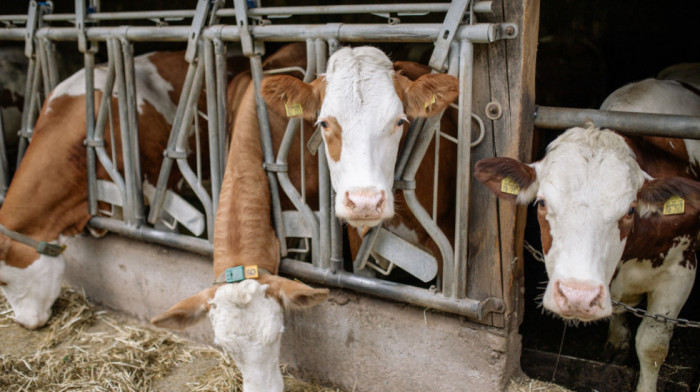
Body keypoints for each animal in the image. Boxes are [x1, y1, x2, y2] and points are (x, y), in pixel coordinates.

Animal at [474, 74, 700, 392]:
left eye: (630, 209)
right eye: (541, 203)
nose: (577, 296)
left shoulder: (680, 271)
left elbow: (652, 346)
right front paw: (616, 342)